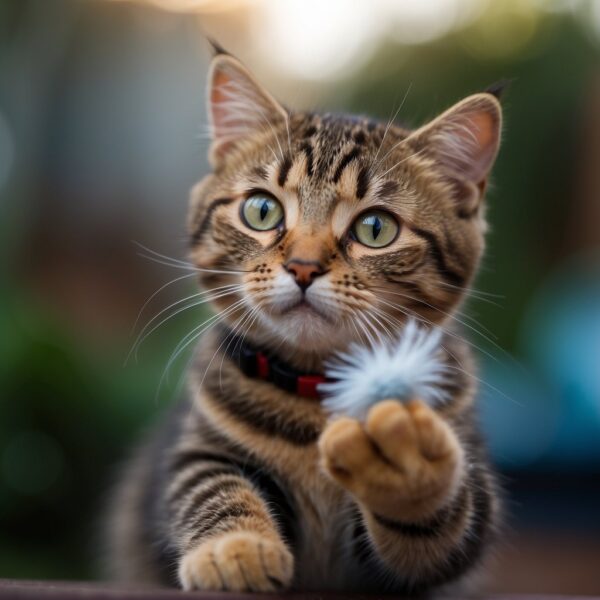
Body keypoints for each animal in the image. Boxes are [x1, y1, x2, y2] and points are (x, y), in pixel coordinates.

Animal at [105, 48, 504, 596]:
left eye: (375, 228)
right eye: (261, 210)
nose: (303, 267)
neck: (313, 394)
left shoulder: (462, 504)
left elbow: (444, 524)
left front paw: (406, 467)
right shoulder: (194, 448)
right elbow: (209, 485)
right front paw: (237, 549)